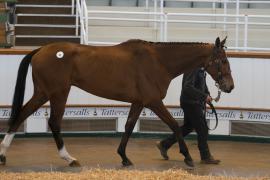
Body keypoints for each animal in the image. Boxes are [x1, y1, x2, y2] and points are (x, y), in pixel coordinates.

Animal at [0, 36, 233, 167]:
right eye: (222, 60)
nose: (229, 86)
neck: (158, 61)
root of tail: (40, 50)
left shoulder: (139, 102)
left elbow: (129, 126)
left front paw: (124, 157)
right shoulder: (154, 102)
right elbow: (175, 125)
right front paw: (188, 157)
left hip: (43, 92)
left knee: (22, 114)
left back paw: (3, 154)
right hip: (57, 93)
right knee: (53, 122)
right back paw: (69, 158)